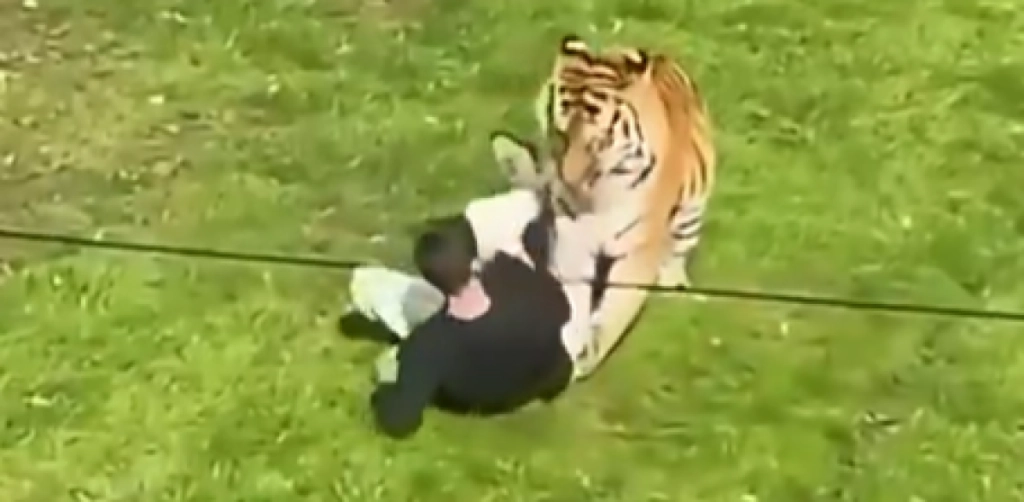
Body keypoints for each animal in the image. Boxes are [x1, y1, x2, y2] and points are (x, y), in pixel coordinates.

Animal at [489, 33, 717, 379]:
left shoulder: (639, 249)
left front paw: (586, 354)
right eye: (559, 136)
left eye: (597, 144)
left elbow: (616, 309)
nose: (566, 184)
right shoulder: (570, 240)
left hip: (691, 212)